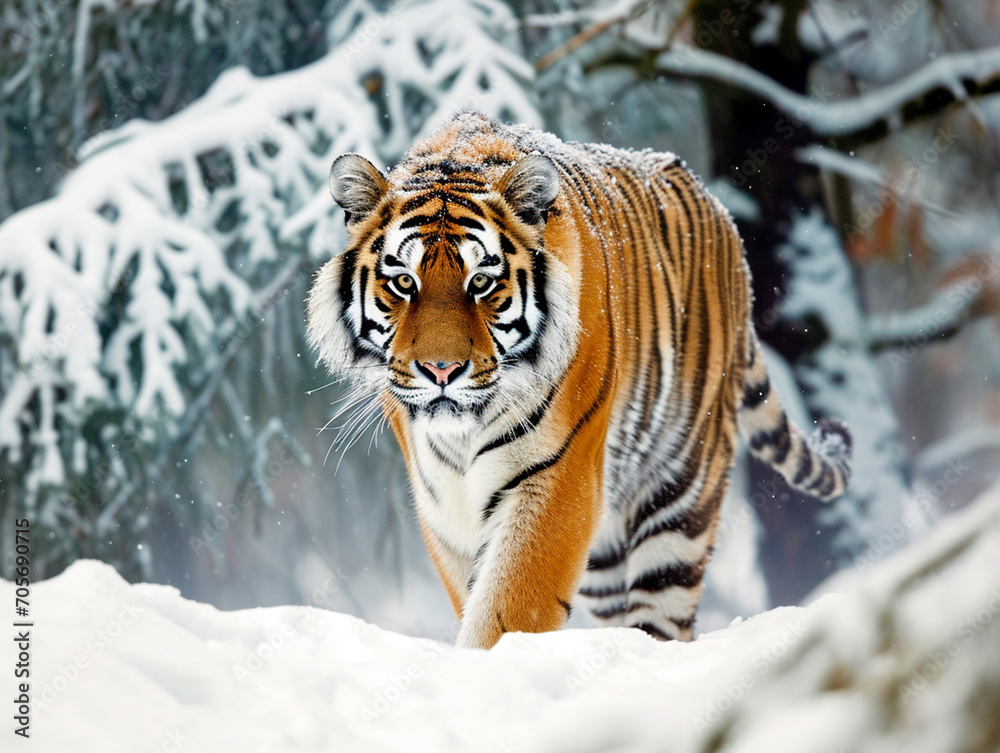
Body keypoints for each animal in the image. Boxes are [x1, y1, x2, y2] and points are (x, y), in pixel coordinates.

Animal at [306, 112, 851, 650]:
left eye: (481, 283)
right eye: (404, 282)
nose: (442, 370)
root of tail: (723, 217)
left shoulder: (556, 481)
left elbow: (507, 608)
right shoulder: (445, 509)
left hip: (683, 490)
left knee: (663, 618)